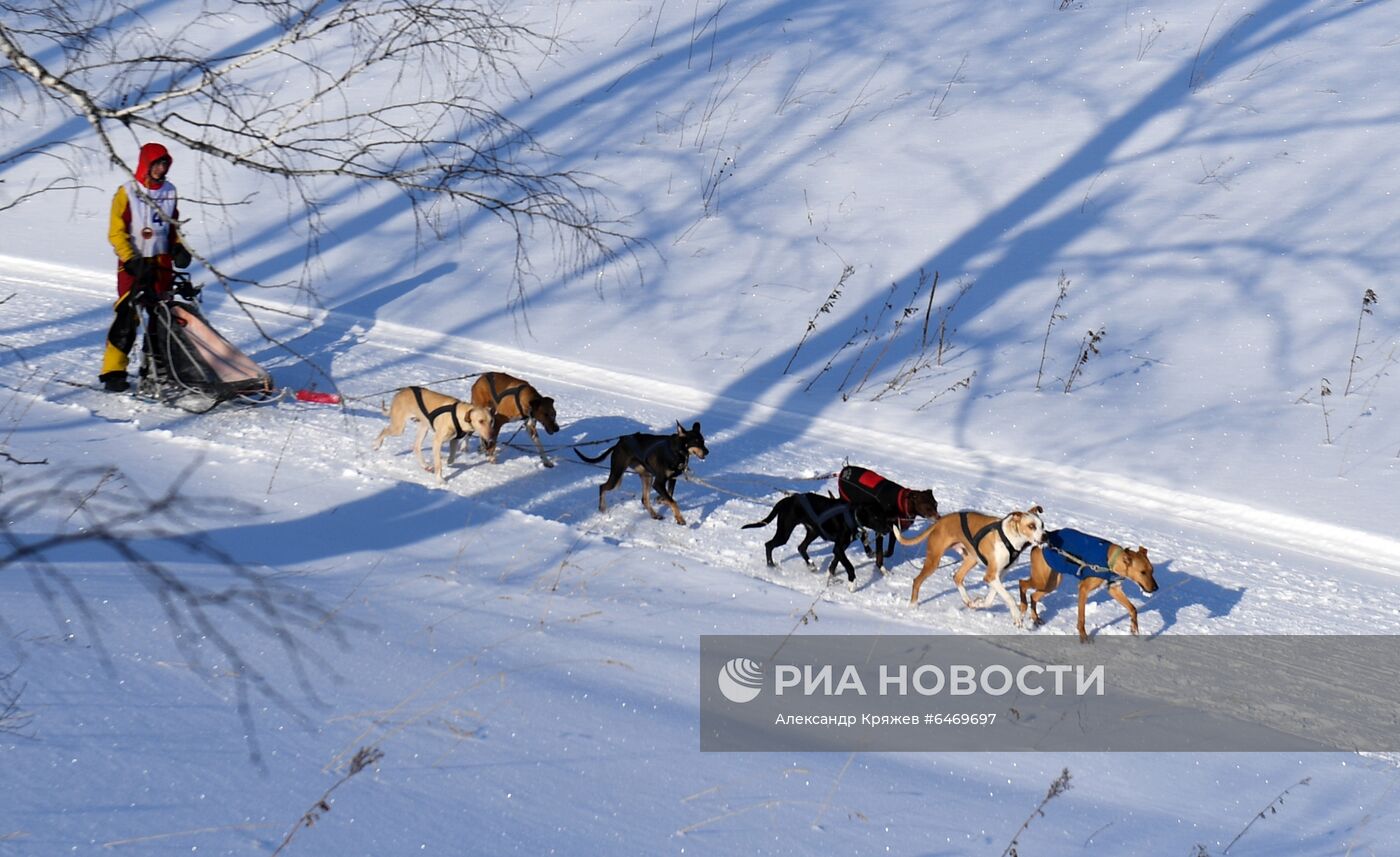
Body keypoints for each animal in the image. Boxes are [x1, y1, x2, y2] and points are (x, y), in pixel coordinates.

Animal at [571, 422, 705, 520]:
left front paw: (660, 499)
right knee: (602, 486)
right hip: (617, 474)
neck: (676, 451)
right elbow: (673, 501)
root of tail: (619, 443)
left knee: (644, 499)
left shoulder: (672, 479)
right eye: (696, 442)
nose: (707, 451)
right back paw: (602, 508)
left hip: (646, 476)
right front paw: (679, 518)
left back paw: (654, 514)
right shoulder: (658, 483)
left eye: (703, 442)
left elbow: (670, 496)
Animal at [739, 492, 879, 585]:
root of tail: (788, 499)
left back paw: (811, 565)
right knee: (769, 544)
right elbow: (846, 563)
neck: (852, 514)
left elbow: (836, 560)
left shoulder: (842, 545)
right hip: (785, 533)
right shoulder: (839, 546)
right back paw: (771, 566)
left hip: (813, 532)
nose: (884, 530)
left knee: (801, 547)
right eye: (877, 516)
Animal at [890, 504, 1047, 627]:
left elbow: (990, 599)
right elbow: (1009, 597)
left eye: (1042, 525)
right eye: (1031, 526)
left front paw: (978, 603)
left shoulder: (1000, 574)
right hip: (934, 560)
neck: (1010, 538)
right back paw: (912, 606)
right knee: (917, 580)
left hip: (972, 559)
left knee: (957, 577)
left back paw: (967, 601)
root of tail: (940, 521)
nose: (1045, 536)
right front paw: (1016, 616)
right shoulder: (991, 575)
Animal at [1019, 529, 1159, 644]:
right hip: (1042, 580)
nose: (1156, 588)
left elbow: (1133, 609)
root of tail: (1039, 544)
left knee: (1033, 596)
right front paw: (1083, 636)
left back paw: (1035, 618)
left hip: (1051, 583)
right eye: (1142, 572)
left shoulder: (1114, 589)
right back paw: (1023, 607)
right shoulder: (1083, 589)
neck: (1110, 562)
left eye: (1152, 571)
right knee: (1022, 583)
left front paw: (1134, 628)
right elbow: (1082, 618)